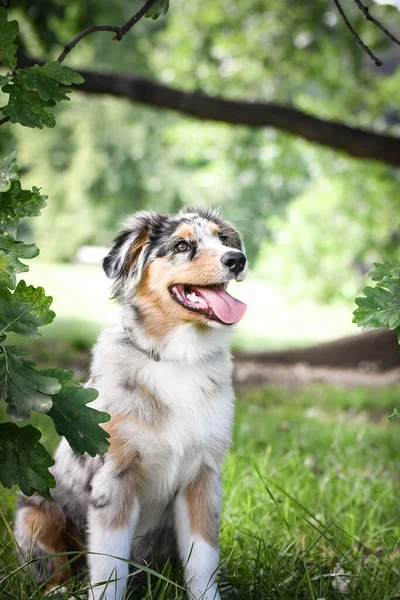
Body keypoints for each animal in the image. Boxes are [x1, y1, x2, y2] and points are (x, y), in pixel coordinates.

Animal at [14, 207, 247, 600]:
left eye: (224, 239)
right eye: (182, 245)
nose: (238, 259)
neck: (177, 360)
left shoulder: (202, 477)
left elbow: (203, 560)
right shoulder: (116, 478)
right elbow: (110, 567)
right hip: (33, 517)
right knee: (54, 570)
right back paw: (59, 590)